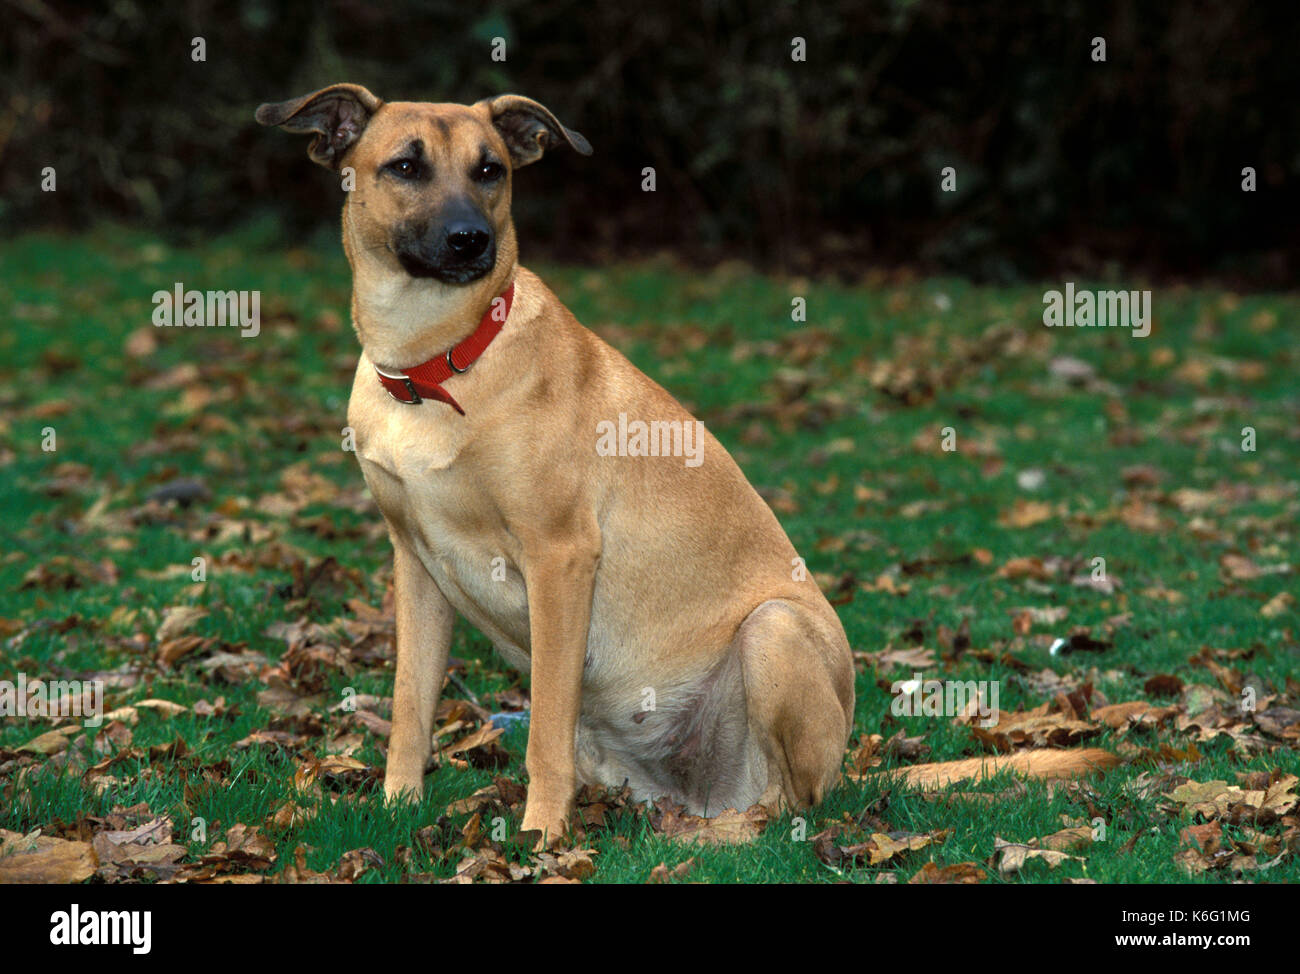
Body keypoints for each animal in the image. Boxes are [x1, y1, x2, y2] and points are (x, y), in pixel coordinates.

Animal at [257, 85, 857, 842]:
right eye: (405, 166)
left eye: (491, 170)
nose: (471, 241)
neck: (438, 363)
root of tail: (700, 794)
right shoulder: (416, 564)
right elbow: (409, 708)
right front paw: (398, 806)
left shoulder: (559, 557)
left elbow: (542, 729)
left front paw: (540, 835)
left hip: (773, 629)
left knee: (788, 807)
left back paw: (718, 832)